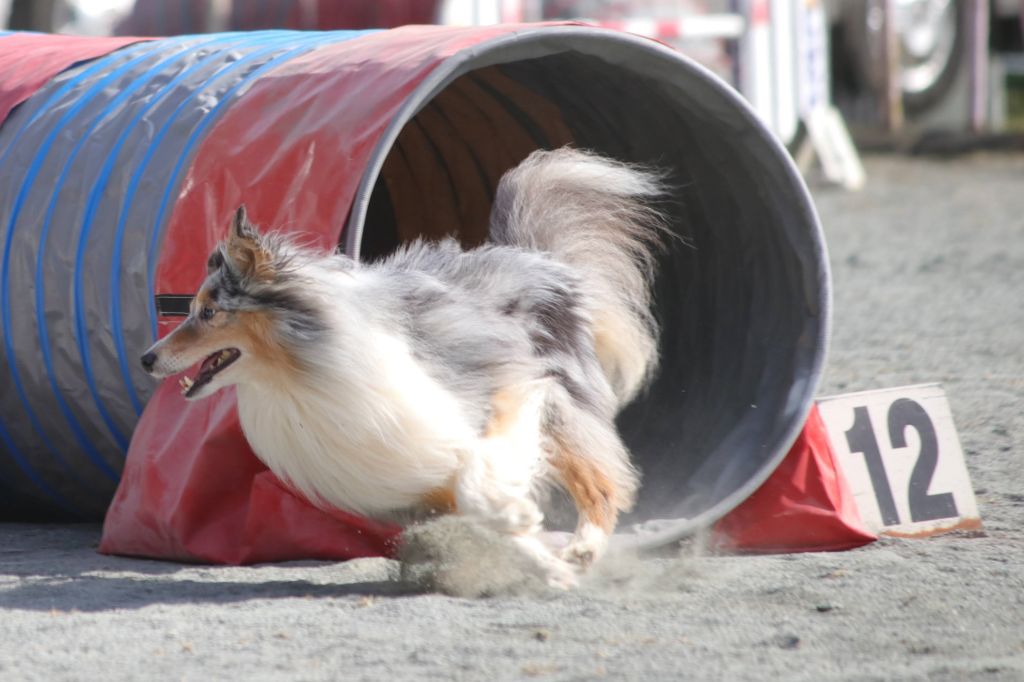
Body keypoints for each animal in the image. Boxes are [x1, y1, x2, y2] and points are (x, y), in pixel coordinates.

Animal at [144, 148, 667, 585]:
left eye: (209, 312)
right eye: (191, 308)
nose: (147, 358)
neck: (295, 375)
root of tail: (536, 256)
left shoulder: (502, 391)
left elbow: (480, 481)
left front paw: (521, 520)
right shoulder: (417, 474)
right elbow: (484, 516)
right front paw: (545, 563)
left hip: (562, 405)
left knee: (602, 481)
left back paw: (584, 546)